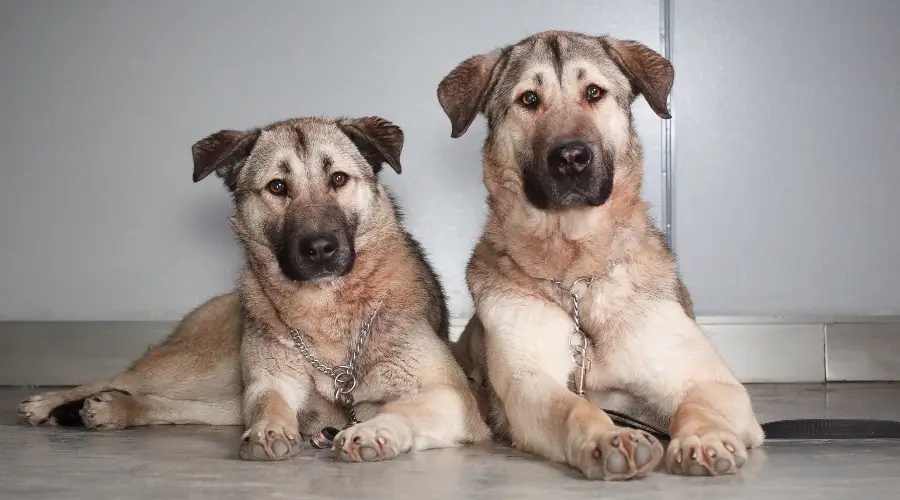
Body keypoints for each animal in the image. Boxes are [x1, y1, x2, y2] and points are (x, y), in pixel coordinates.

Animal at [17, 115, 488, 462]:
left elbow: (402, 407)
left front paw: (374, 430)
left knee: (173, 403)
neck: (325, 308)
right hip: (199, 365)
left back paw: (117, 409)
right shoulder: (268, 382)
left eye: (338, 179)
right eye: (277, 187)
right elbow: (268, 404)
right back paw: (52, 403)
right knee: (124, 378)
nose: (320, 248)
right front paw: (269, 429)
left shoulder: (452, 397)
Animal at [440, 31, 764, 480]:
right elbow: (573, 408)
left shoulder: (710, 381)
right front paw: (606, 439)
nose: (571, 158)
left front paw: (704, 437)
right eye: (528, 99)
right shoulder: (530, 383)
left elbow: (695, 406)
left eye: (594, 92)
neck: (577, 275)